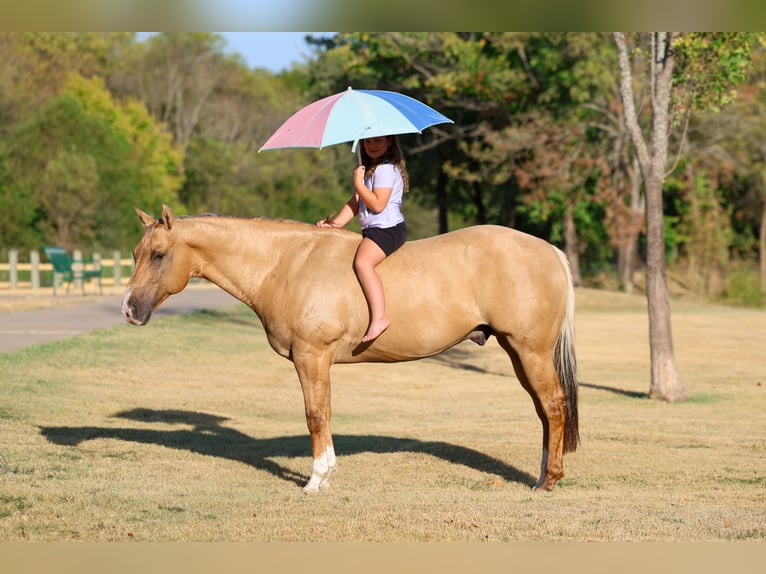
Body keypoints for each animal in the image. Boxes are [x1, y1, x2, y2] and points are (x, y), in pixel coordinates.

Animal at [121, 205, 579, 493]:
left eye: (159, 254)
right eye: (135, 252)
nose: (129, 309)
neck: (287, 263)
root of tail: (549, 251)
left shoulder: (312, 356)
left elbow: (316, 415)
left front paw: (316, 479)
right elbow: (322, 413)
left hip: (531, 351)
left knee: (554, 406)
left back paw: (549, 480)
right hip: (518, 353)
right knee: (544, 411)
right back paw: (542, 475)